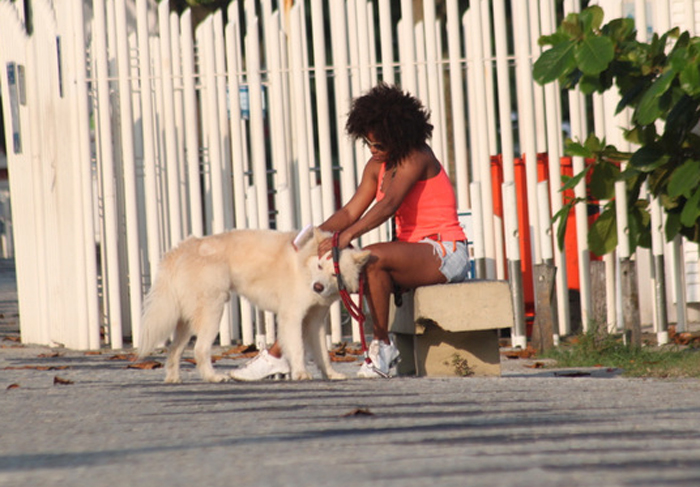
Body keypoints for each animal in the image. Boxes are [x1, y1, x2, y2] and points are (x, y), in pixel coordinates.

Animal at [134, 229, 370, 386]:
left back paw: (173, 378)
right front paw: (301, 373)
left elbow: (323, 353)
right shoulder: (292, 317)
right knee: (200, 349)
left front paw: (331, 374)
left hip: (187, 320)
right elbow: (297, 348)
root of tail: (181, 249)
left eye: (335, 273)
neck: (304, 265)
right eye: (320, 266)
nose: (317, 287)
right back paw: (214, 377)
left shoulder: (315, 322)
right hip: (213, 311)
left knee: (174, 349)